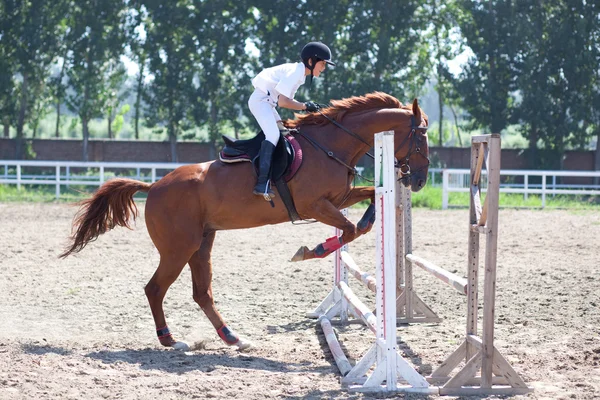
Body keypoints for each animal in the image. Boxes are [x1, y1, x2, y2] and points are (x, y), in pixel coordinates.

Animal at [59, 91, 426, 350]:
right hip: (178, 248)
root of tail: (154, 186)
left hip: (202, 243)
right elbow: (348, 229)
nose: (419, 181)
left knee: (201, 293)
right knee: (155, 289)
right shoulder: (315, 205)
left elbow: (367, 207)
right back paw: (169, 339)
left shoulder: (337, 198)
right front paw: (311, 251)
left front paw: (359, 223)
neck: (330, 145)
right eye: (421, 139)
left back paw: (233, 338)